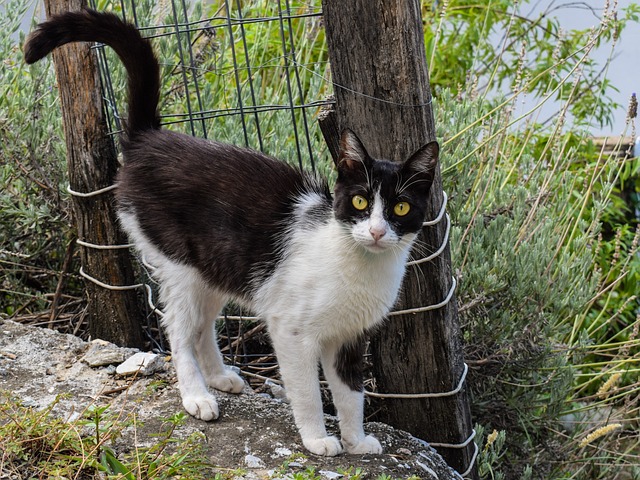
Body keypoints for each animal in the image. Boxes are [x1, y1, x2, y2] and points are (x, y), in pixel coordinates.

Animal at [22, 9, 438, 456]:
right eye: (360, 202)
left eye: (400, 208)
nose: (377, 232)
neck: (357, 262)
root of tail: (149, 138)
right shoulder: (291, 330)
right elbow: (308, 390)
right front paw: (316, 439)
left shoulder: (349, 338)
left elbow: (351, 393)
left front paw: (357, 440)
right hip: (179, 264)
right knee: (179, 330)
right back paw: (196, 395)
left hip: (217, 265)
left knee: (202, 325)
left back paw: (219, 377)